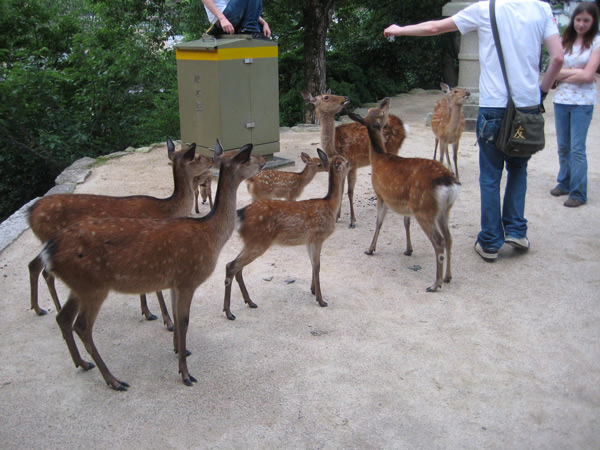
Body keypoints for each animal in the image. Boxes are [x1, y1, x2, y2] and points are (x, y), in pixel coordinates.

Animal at [28, 137, 216, 330]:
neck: (166, 210)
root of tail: (30, 213)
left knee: (34, 265)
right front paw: (168, 321)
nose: (212, 159)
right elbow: (156, 288)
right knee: (45, 272)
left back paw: (39, 308)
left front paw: (147, 312)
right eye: (198, 157)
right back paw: (54, 309)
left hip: (45, 242)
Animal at [223, 149, 350, 320]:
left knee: (237, 267)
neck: (330, 205)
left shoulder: (309, 240)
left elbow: (312, 264)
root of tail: (240, 214)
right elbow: (317, 266)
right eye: (346, 162)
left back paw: (249, 302)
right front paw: (321, 300)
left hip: (251, 241)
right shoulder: (318, 237)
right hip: (258, 241)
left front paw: (313, 290)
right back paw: (229, 312)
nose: (352, 164)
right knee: (231, 266)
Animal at [300, 89, 408, 229]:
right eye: (326, 97)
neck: (335, 149)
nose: (345, 97)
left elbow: (350, 192)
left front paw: (352, 221)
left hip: (393, 149)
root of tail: (403, 125)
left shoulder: (353, 163)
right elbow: (340, 190)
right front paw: (337, 216)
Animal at [346, 96, 460, 292]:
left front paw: (370, 249)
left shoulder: (380, 193)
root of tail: (449, 183)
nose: (386, 99)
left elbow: (379, 222)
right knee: (449, 238)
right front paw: (408, 250)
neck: (378, 157)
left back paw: (435, 284)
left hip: (424, 209)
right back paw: (447, 277)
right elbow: (406, 223)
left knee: (439, 241)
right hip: (444, 211)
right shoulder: (406, 205)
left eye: (379, 111)